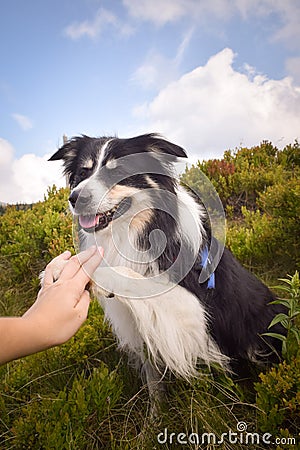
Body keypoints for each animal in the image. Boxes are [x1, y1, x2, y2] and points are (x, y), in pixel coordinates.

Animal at [48, 134, 286, 400]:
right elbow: (153, 381)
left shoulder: (197, 315)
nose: (75, 198)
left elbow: (135, 279)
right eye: (83, 172)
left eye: (118, 171)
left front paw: (89, 272)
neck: (138, 229)